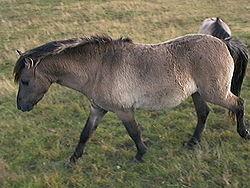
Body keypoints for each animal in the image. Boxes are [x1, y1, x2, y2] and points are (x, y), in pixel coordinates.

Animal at [14, 34, 250, 164]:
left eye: (24, 81)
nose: (21, 106)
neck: (98, 67)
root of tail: (223, 42)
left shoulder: (123, 110)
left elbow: (134, 132)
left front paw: (141, 154)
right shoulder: (97, 109)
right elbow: (85, 134)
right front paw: (73, 159)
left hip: (215, 92)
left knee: (238, 104)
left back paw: (243, 133)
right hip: (198, 93)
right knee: (203, 114)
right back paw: (193, 142)